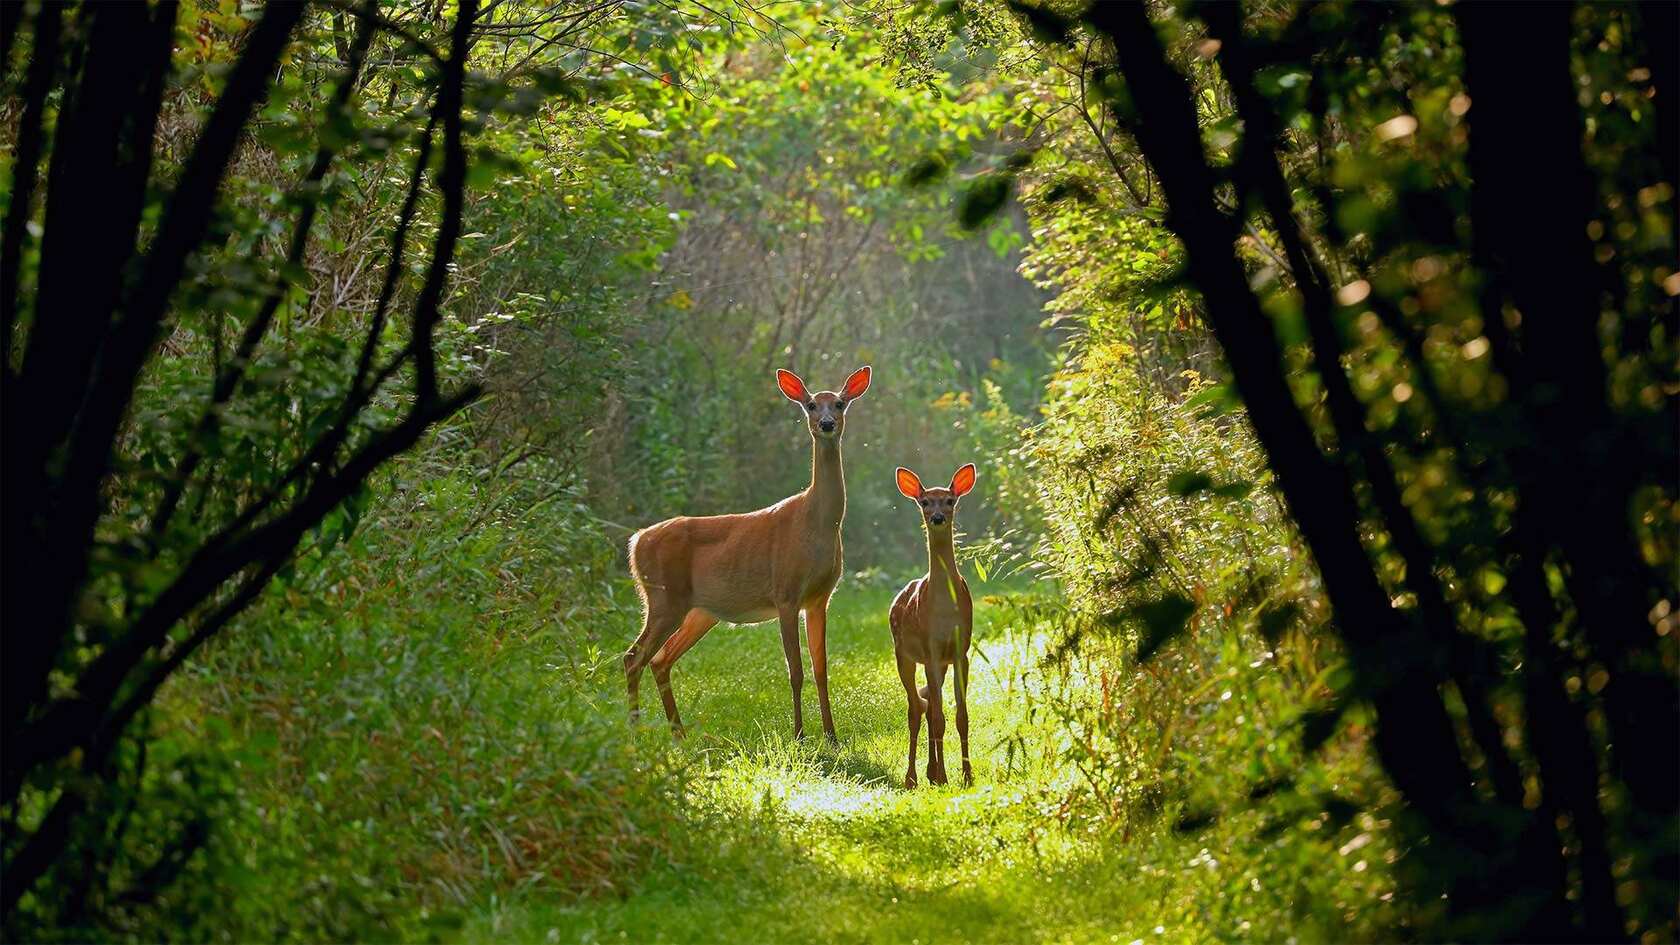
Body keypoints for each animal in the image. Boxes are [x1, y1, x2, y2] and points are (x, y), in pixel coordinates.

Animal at [624, 364, 873, 739]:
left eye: (840, 403)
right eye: (811, 405)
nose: (827, 424)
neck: (816, 524)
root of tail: (636, 541)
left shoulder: (819, 598)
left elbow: (821, 670)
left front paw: (832, 737)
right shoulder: (786, 592)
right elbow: (795, 671)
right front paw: (799, 735)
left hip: (699, 611)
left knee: (659, 659)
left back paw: (678, 734)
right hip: (664, 597)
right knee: (633, 657)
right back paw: (637, 733)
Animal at [887, 460, 981, 783]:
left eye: (950, 500)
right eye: (925, 502)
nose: (938, 517)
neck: (944, 609)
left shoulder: (960, 651)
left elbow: (961, 717)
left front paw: (966, 775)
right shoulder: (930, 649)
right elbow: (939, 716)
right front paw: (945, 776)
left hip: (938, 663)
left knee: (926, 706)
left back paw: (931, 771)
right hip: (903, 654)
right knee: (916, 708)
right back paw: (914, 777)